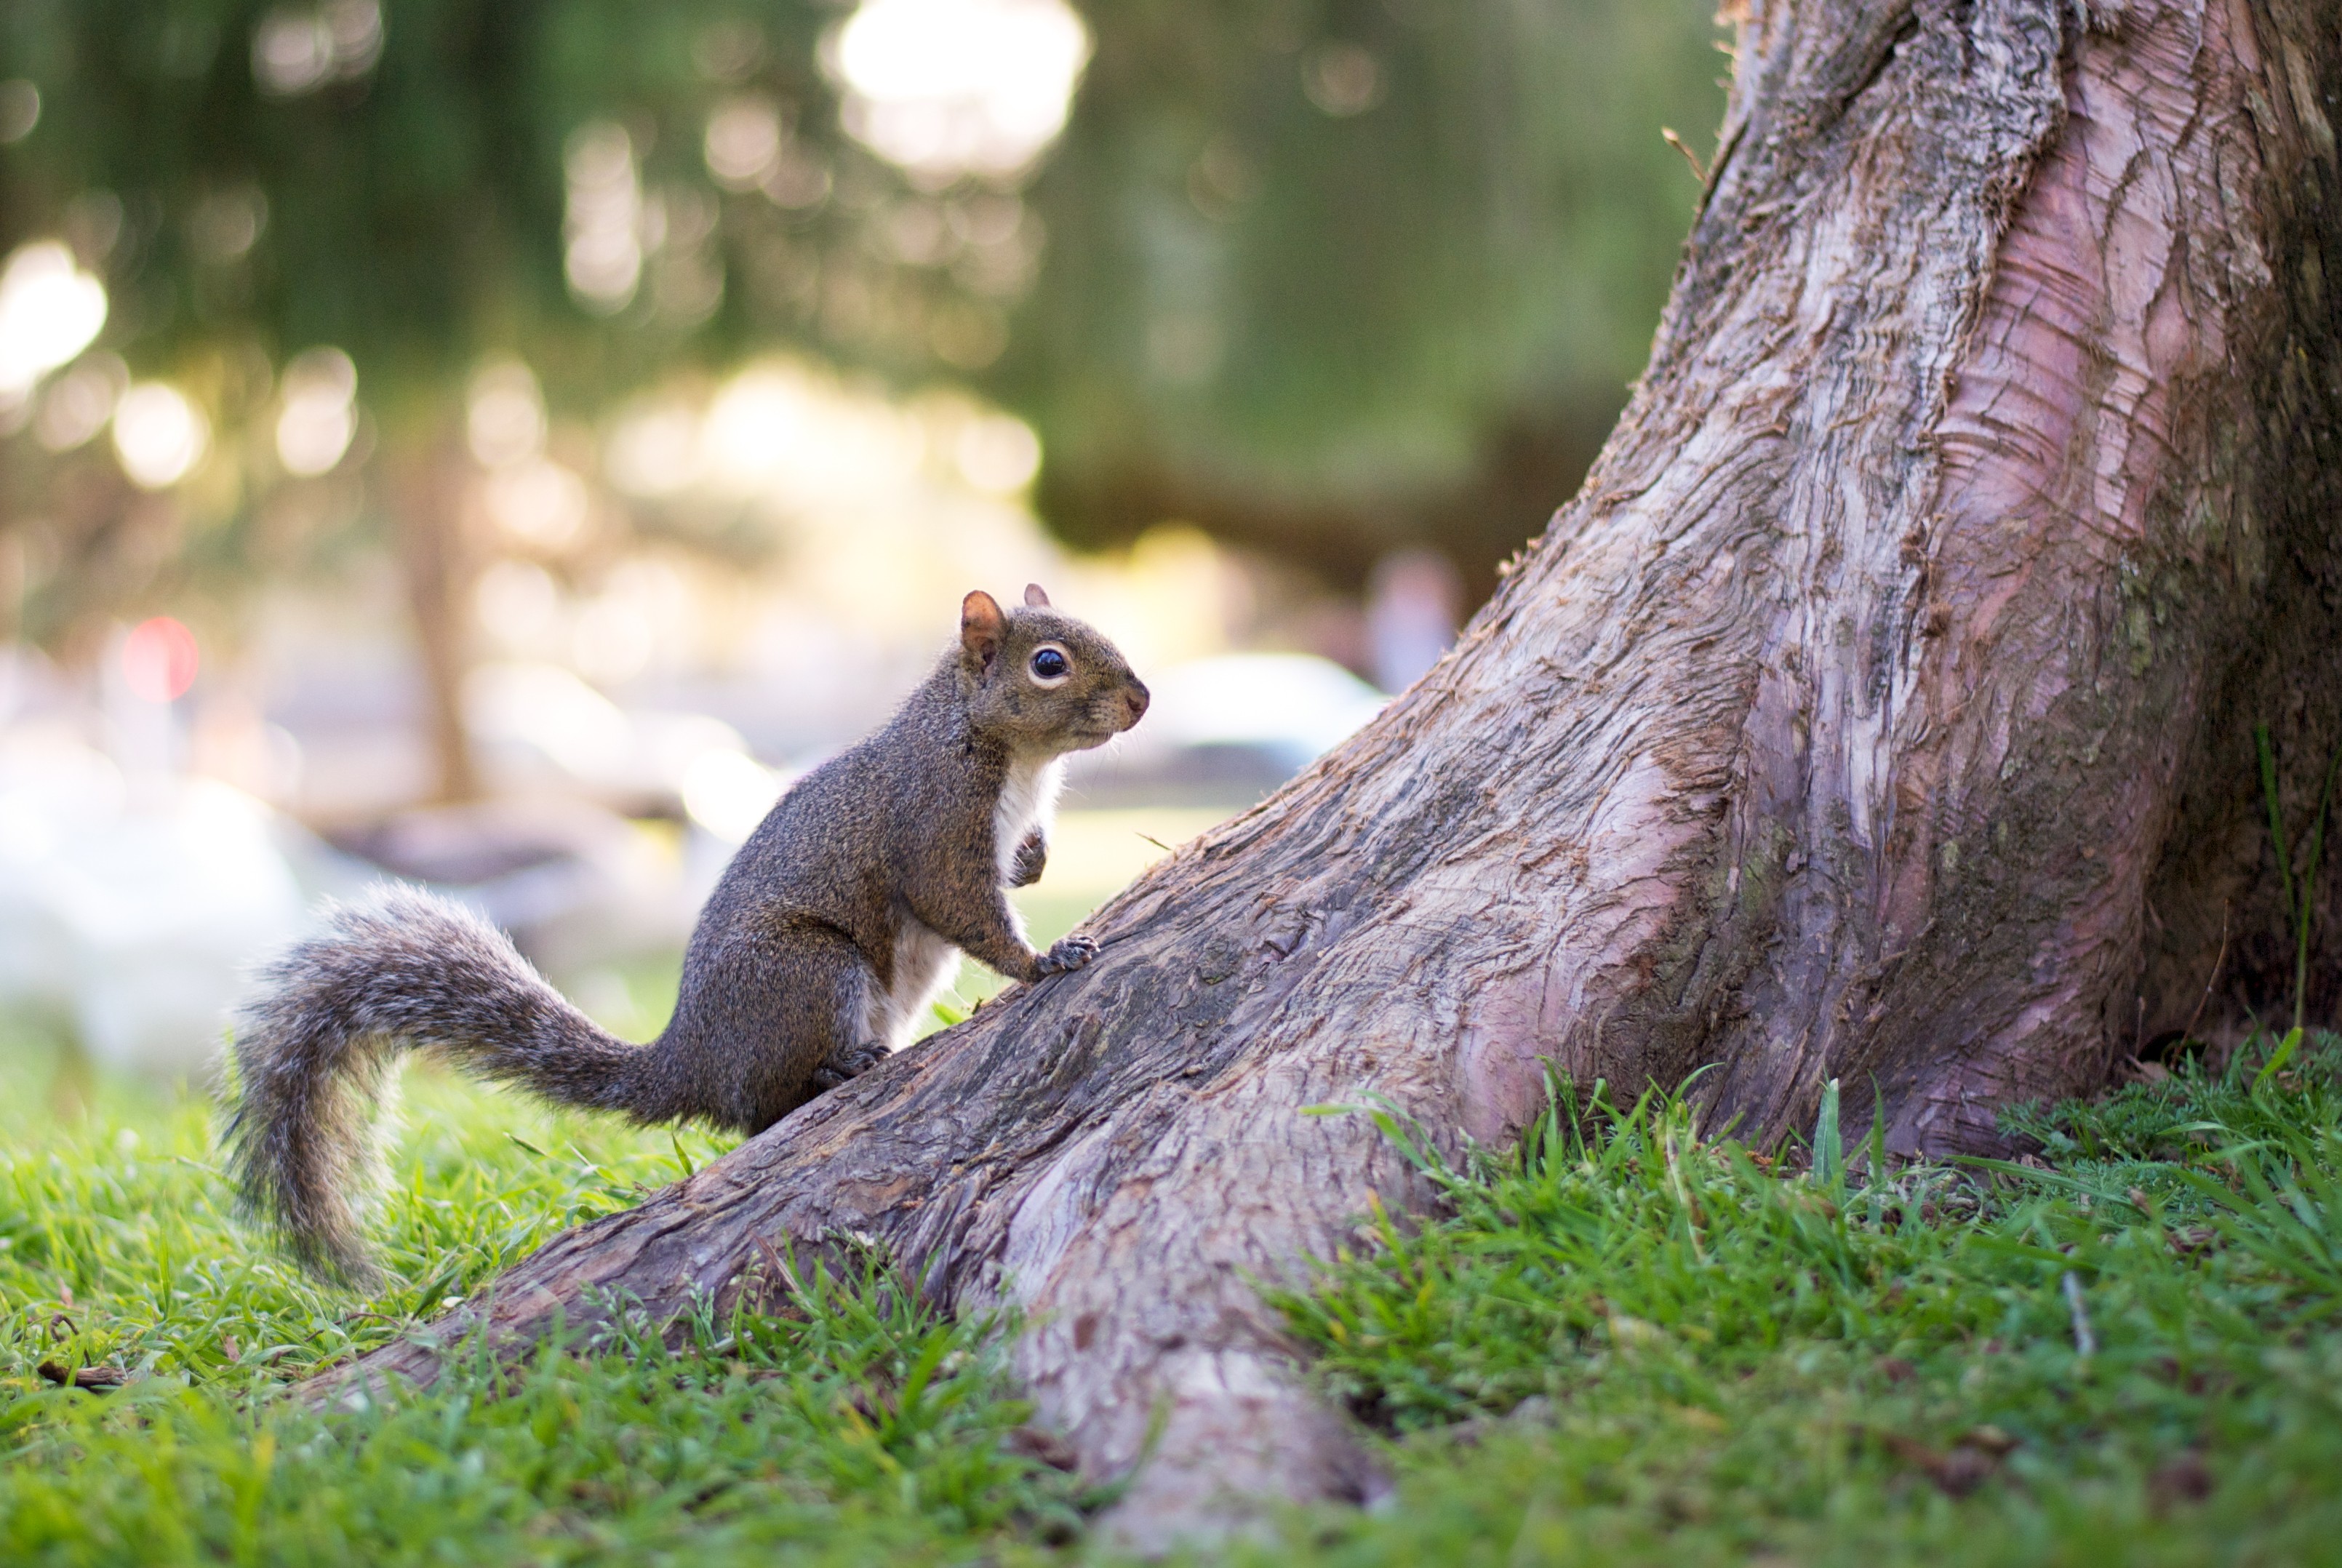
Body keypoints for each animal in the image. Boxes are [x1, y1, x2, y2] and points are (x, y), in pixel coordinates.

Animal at [223, 585, 1149, 1284]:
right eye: (1049, 663)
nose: (1142, 699)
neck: (1000, 748)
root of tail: (689, 1055)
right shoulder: (935, 819)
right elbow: (961, 905)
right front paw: (1042, 959)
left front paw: (1035, 858)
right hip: (810, 970)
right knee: (761, 1108)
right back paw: (836, 1068)